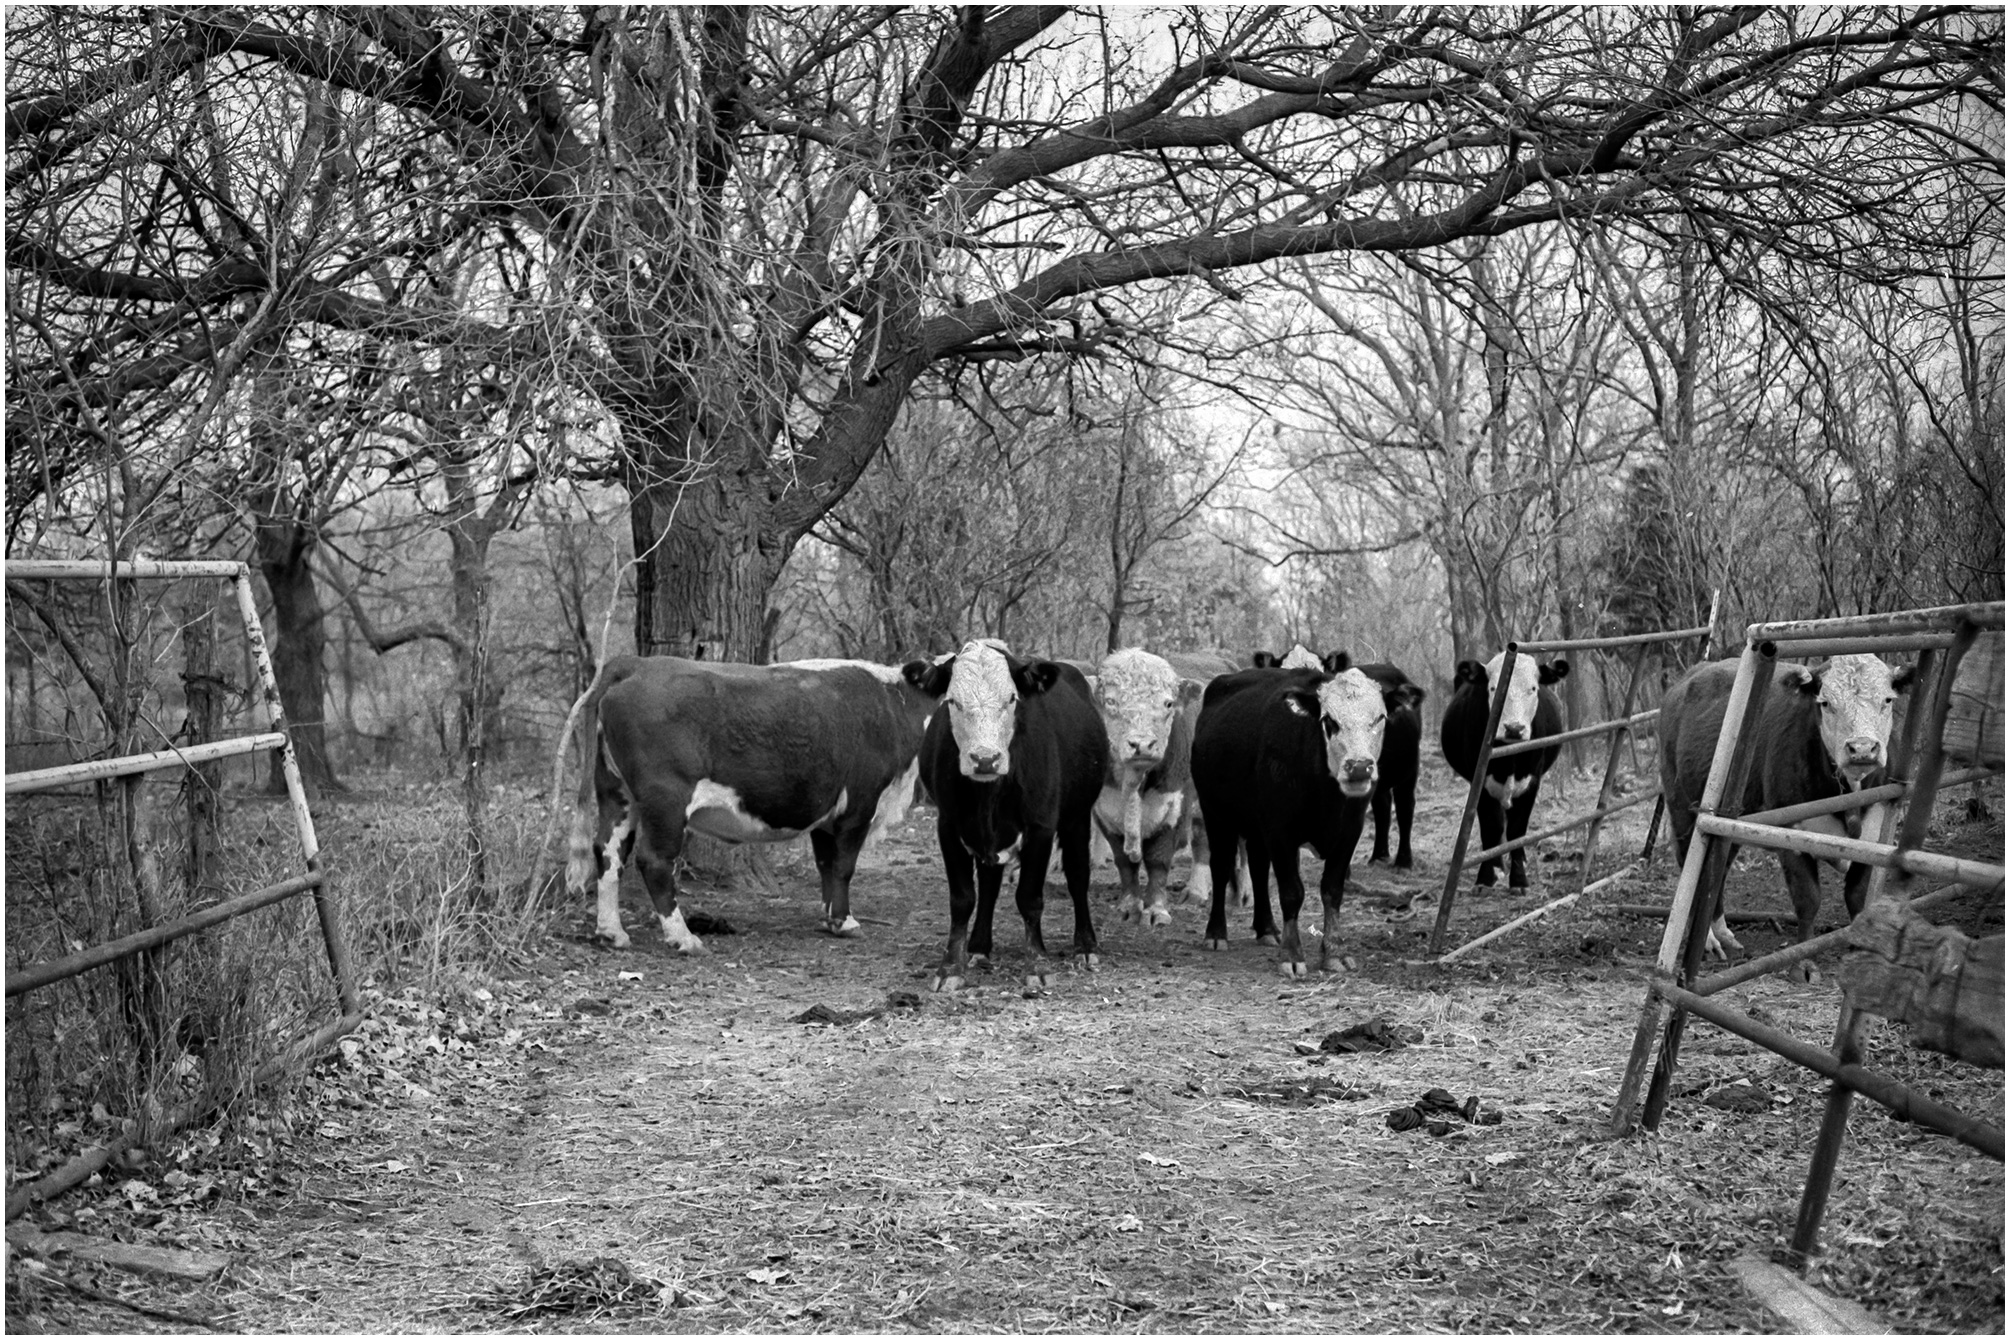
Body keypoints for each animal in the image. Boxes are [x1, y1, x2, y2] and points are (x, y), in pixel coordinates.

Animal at [916, 638, 1109, 996]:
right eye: (952, 701)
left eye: (1011, 698)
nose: (985, 759)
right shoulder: (948, 827)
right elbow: (963, 899)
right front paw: (951, 967)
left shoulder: (1041, 829)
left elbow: (1030, 898)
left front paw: (1038, 966)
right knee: (990, 884)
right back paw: (979, 946)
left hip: (1077, 818)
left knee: (1078, 877)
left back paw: (1086, 946)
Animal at [1189, 662, 1382, 968]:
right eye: (1329, 720)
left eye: (1379, 718)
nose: (1360, 766)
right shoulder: (1281, 831)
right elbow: (1292, 891)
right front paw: (1292, 955)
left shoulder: (1349, 831)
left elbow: (1332, 890)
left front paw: (1335, 952)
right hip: (1215, 814)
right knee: (1220, 868)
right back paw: (1216, 933)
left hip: (1256, 827)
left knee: (1258, 868)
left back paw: (1266, 928)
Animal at [1447, 650, 1567, 891]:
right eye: (1494, 688)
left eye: (1533, 688)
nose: (1514, 728)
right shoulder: (1481, 784)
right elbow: (1491, 828)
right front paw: (1485, 878)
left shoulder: (1532, 782)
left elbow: (1517, 831)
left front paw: (1519, 880)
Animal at [1656, 650, 1921, 952]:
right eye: (1825, 703)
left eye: (1887, 700)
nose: (1862, 748)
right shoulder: (1791, 833)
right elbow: (1808, 900)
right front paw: (1803, 959)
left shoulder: (1872, 836)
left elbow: (1858, 898)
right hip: (1682, 811)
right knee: (1690, 869)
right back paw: (1710, 939)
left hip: (1727, 824)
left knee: (1717, 871)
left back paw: (1722, 931)